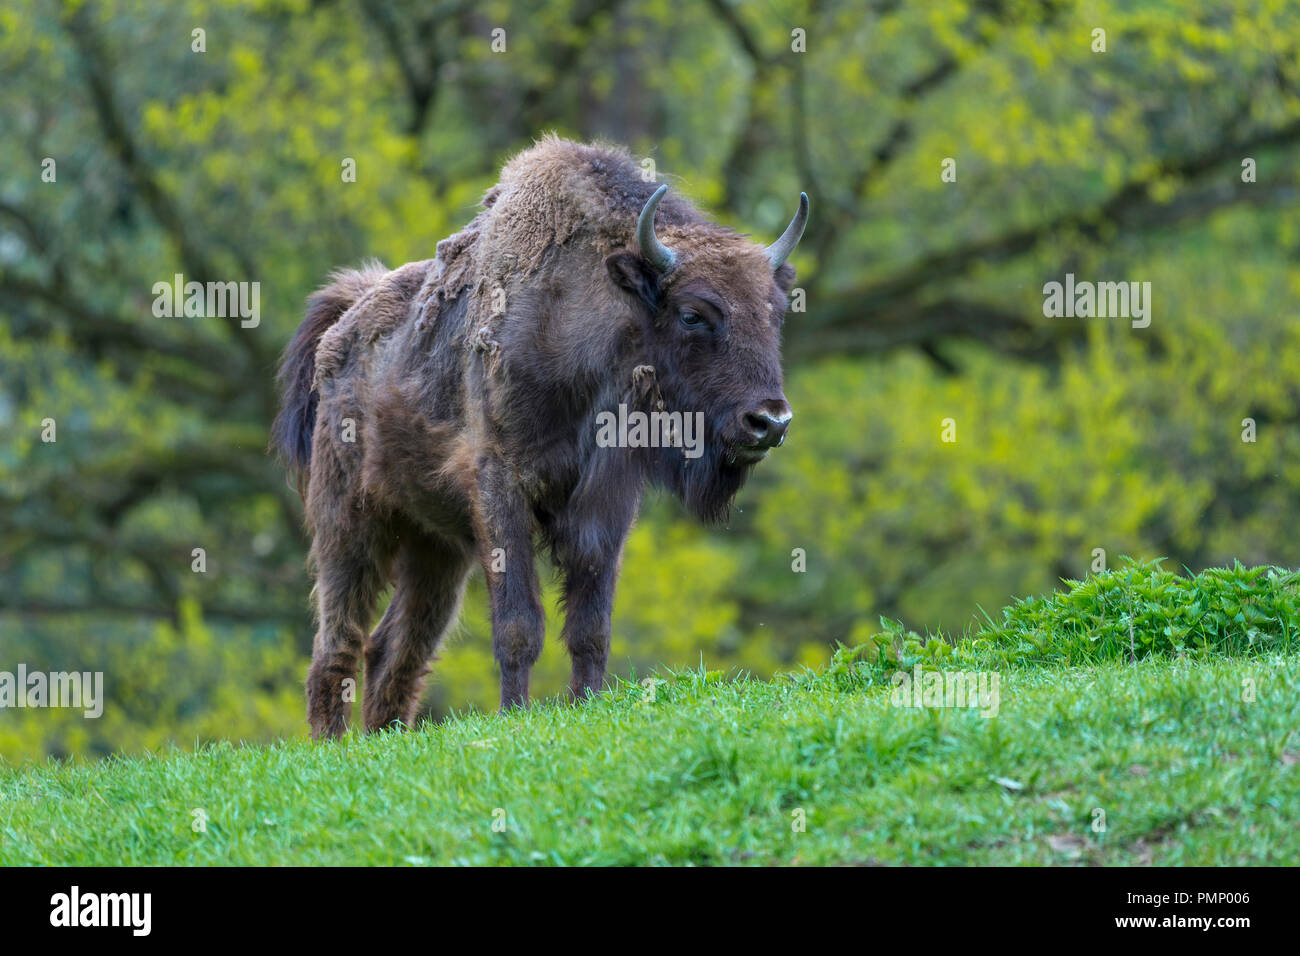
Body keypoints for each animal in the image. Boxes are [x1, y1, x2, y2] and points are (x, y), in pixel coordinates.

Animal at [270, 134, 806, 738]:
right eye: (693, 314)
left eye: (776, 312)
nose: (770, 422)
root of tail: (341, 331)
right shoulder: (501, 487)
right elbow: (518, 624)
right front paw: (514, 715)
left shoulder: (607, 500)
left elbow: (591, 625)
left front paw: (587, 703)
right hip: (348, 524)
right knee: (337, 644)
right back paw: (331, 743)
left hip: (437, 549)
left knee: (395, 649)